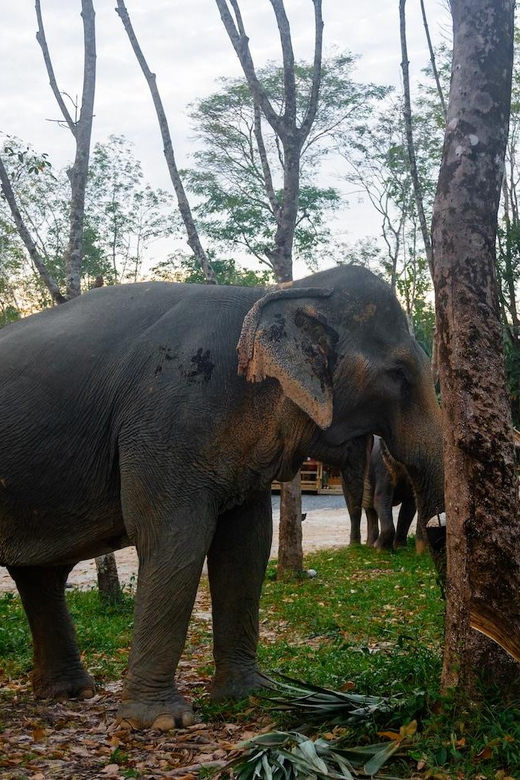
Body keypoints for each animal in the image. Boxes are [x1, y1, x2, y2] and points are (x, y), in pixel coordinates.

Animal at [0, 265, 443, 731]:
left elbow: (246, 545)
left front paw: (251, 694)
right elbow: (176, 537)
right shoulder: (167, 416)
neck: (282, 291)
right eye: (399, 374)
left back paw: (71, 693)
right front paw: (163, 722)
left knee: (41, 574)